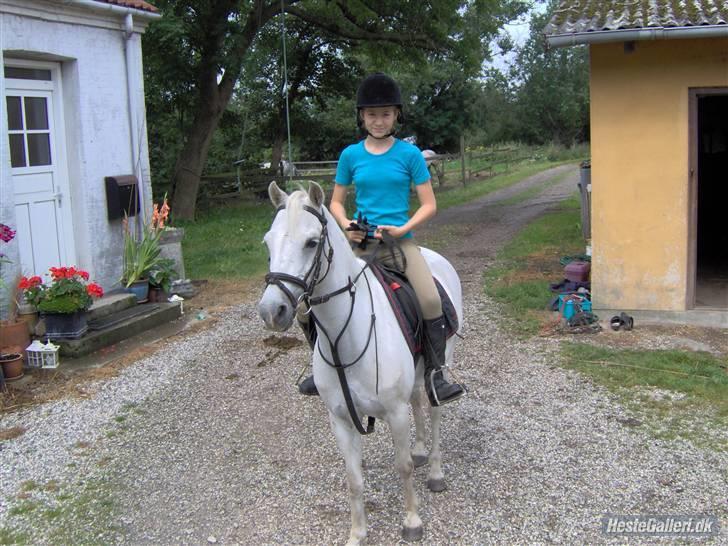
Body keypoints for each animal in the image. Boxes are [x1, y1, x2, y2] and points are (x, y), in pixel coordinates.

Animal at [258, 181, 460, 540]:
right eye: (268, 242)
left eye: (312, 242)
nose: (271, 311)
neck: (346, 337)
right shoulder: (339, 418)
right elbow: (353, 480)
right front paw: (357, 533)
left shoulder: (394, 413)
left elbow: (403, 467)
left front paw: (412, 521)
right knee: (417, 400)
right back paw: (421, 450)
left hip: (440, 363)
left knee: (435, 409)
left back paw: (435, 471)